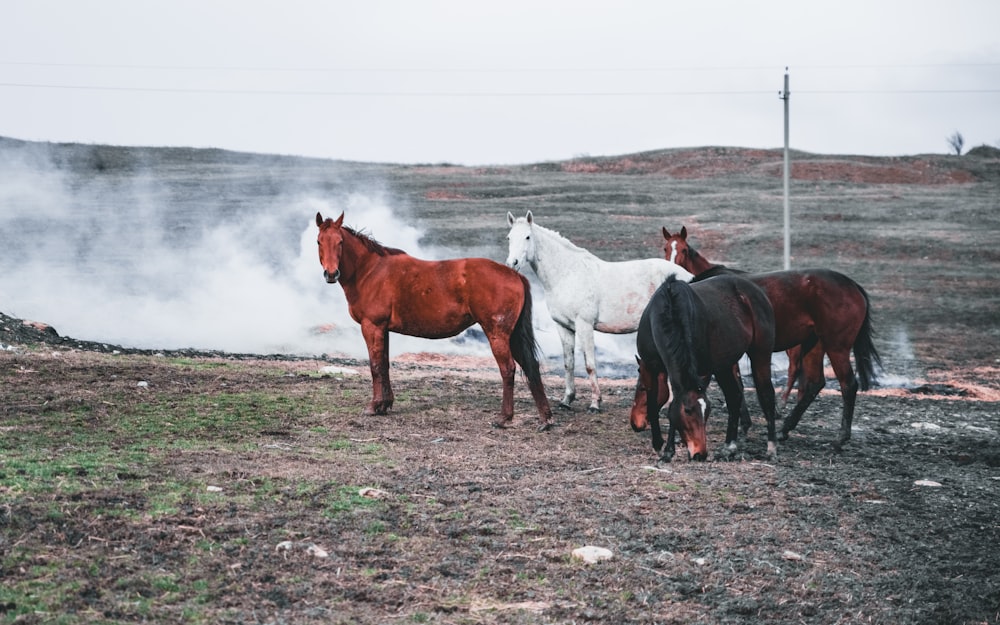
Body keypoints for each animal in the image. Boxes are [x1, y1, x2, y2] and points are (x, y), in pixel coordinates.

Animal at [316, 212, 556, 432]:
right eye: (319, 241)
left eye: (340, 242)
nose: (331, 273)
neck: (370, 270)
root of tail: (515, 275)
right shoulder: (383, 330)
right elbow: (384, 364)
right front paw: (385, 404)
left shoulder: (372, 327)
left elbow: (375, 366)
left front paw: (374, 406)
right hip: (513, 335)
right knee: (531, 366)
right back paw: (545, 419)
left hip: (497, 335)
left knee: (508, 369)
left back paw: (504, 418)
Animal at [504, 212, 692, 412]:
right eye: (509, 237)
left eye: (527, 237)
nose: (512, 263)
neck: (567, 274)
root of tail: (688, 277)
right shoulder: (563, 327)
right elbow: (568, 363)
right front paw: (567, 399)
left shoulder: (584, 325)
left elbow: (589, 365)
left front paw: (595, 403)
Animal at [636, 272, 776, 458]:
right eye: (688, 410)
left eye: (708, 411)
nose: (700, 454)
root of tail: (757, 291)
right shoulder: (651, 367)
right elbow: (654, 404)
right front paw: (660, 444)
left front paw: (668, 450)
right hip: (724, 365)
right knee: (734, 396)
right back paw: (729, 445)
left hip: (760, 355)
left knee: (767, 395)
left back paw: (771, 447)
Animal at [656, 225, 884, 448]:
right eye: (665, 248)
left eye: (684, 250)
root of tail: (852, 285)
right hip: (814, 344)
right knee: (814, 383)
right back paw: (785, 428)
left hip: (836, 346)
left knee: (848, 385)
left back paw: (840, 437)